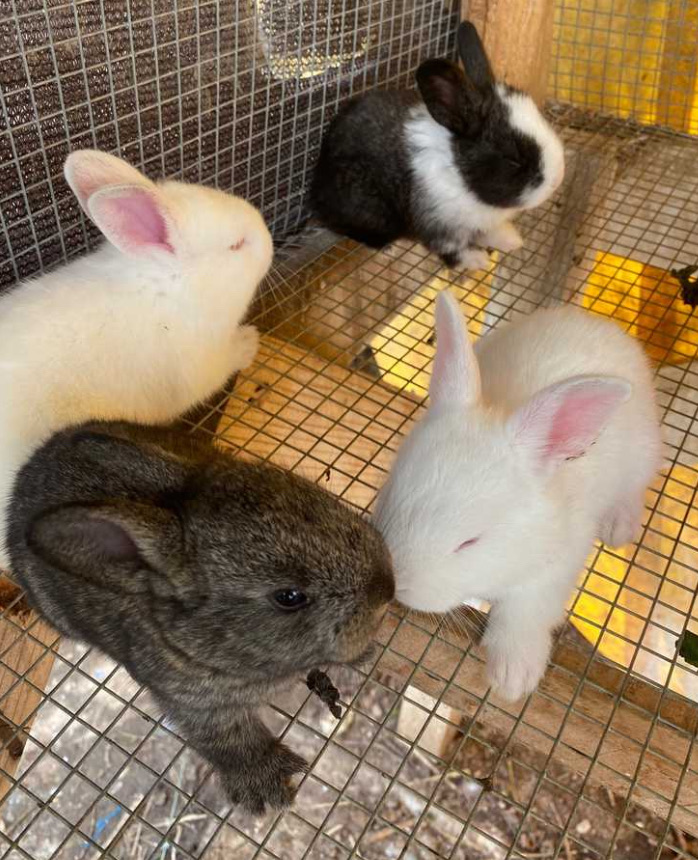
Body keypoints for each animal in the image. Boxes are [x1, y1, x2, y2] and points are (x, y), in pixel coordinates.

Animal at [0, 149, 273, 568]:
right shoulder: (203, 366)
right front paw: (250, 342)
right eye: (236, 246)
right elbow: (228, 359)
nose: (270, 239)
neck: (167, 287)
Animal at [7, 420, 395, 814]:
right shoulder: (194, 705)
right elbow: (230, 741)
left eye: (314, 496)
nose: (387, 590)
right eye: (289, 597)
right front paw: (268, 786)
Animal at [310, 22, 565, 271]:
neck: (461, 177)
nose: (556, 181)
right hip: (365, 208)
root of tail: (317, 189)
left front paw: (510, 240)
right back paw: (390, 248)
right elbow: (451, 249)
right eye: (513, 158)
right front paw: (476, 260)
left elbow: (488, 231)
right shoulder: (439, 226)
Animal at [373, 291, 662, 701]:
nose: (398, 584)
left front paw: (513, 676)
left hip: (641, 455)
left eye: (470, 541)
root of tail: (597, 323)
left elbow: (524, 612)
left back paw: (619, 527)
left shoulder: (552, 572)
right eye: (390, 492)